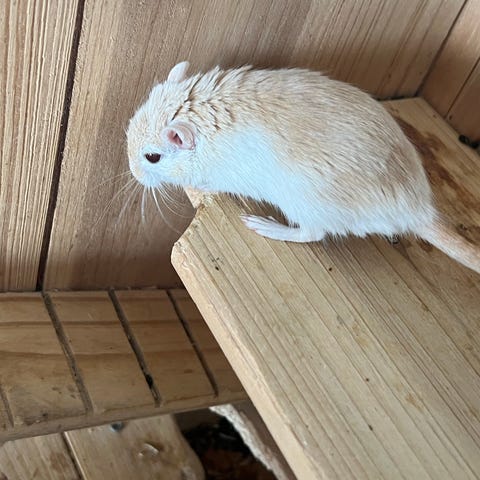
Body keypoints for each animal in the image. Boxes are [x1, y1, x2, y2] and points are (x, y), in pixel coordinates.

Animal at [127, 61, 480, 274]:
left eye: (152, 158)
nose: (133, 174)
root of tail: (418, 212)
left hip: (305, 204)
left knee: (313, 234)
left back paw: (265, 225)